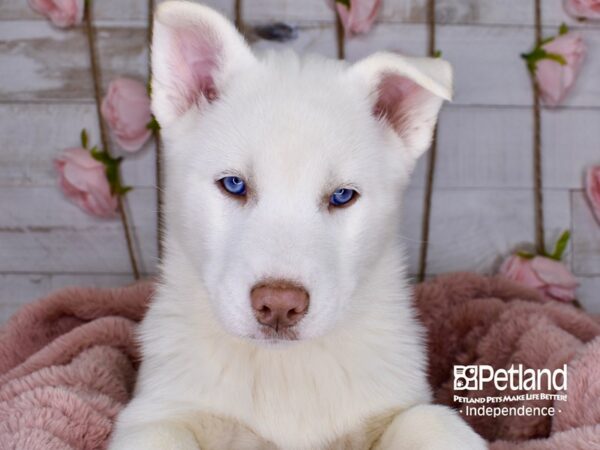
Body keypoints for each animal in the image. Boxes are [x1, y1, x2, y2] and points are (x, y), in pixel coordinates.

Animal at [110, 1, 488, 448]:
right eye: (234, 185)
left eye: (342, 196)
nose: (279, 305)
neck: (284, 369)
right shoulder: (156, 411)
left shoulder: (399, 402)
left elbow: (428, 420)